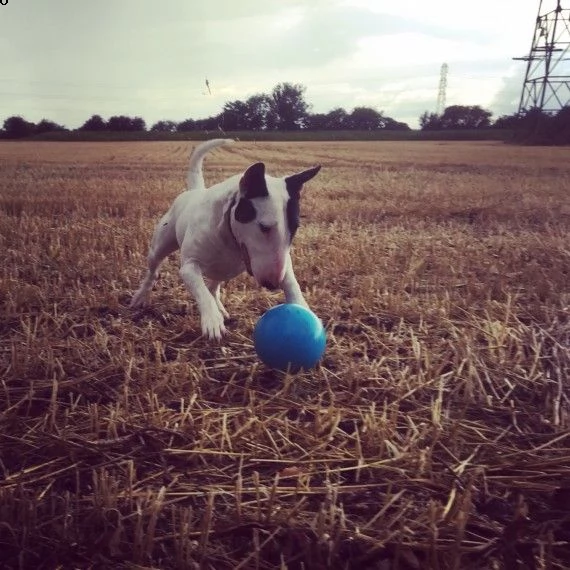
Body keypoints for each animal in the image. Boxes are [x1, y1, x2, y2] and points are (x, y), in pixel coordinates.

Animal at [130, 139, 322, 338]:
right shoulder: (189, 267)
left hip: (222, 270)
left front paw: (301, 305)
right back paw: (141, 297)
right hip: (159, 247)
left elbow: (291, 281)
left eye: (295, 228)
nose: (273, 284)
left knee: (214, 287)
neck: (229, 237)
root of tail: (195, 190)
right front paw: (212, 321)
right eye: (264, 227)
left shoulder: (283, 263)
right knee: (154, 272)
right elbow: (201, 290)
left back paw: (220, 308)